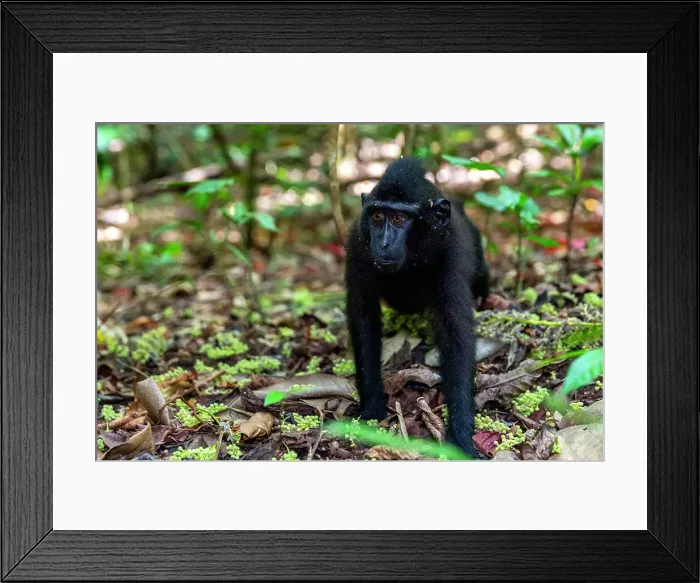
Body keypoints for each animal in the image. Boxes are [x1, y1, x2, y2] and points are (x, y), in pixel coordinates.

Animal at [345, 157, 489, 457]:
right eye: (378, 216)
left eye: (399, 218)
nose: (383, 243)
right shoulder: (357, 245)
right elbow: (364, 319)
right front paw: (372, 408)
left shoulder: (450, 254)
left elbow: (456, 335)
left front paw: (460, 435)